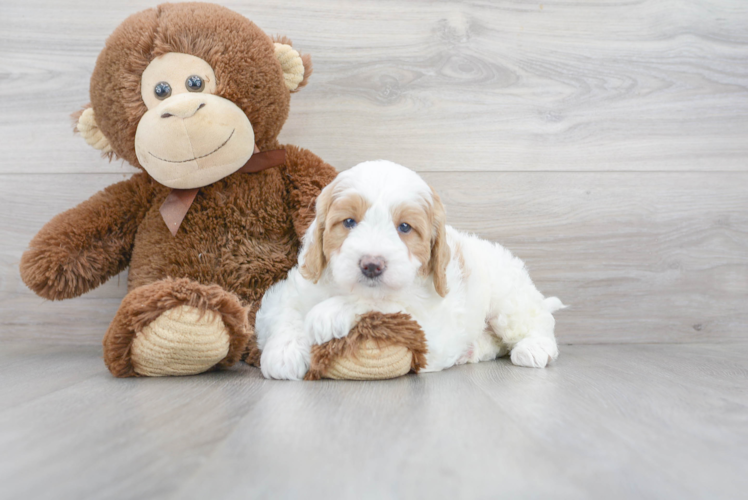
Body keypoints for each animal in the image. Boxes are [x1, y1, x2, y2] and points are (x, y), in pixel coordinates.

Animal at [254, 160, 564, 378]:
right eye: (349, 222)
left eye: (404, 227)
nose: (371, 265)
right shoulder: (294, 289)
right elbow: (284, 311)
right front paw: (283, 352)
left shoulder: (428, 326)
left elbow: (385, 306)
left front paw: (328, 314)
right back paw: (471, 350)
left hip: (508, 301)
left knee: (539, 323)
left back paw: (534, 348)